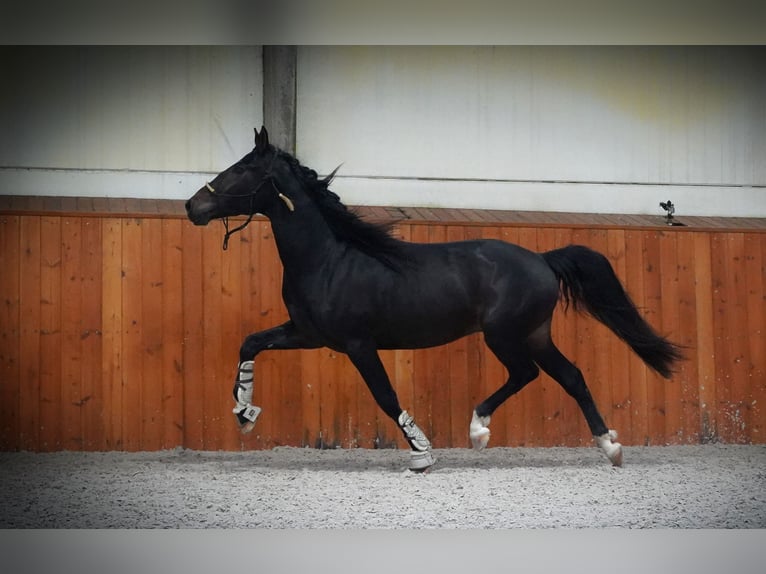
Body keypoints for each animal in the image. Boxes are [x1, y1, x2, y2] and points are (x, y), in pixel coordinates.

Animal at [186, 126, 684, 472]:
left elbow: (386, 396)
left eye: (241, 169)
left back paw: (479, 429)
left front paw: (422, 454)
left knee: (526, 374)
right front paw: (244, 412)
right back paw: (610, 447)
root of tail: (543, 260)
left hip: (504, 334)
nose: (193, 207)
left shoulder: (357, 344)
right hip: (534, 334)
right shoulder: (307, 334)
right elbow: (251, 342)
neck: (329, 259)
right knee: (571, 377)